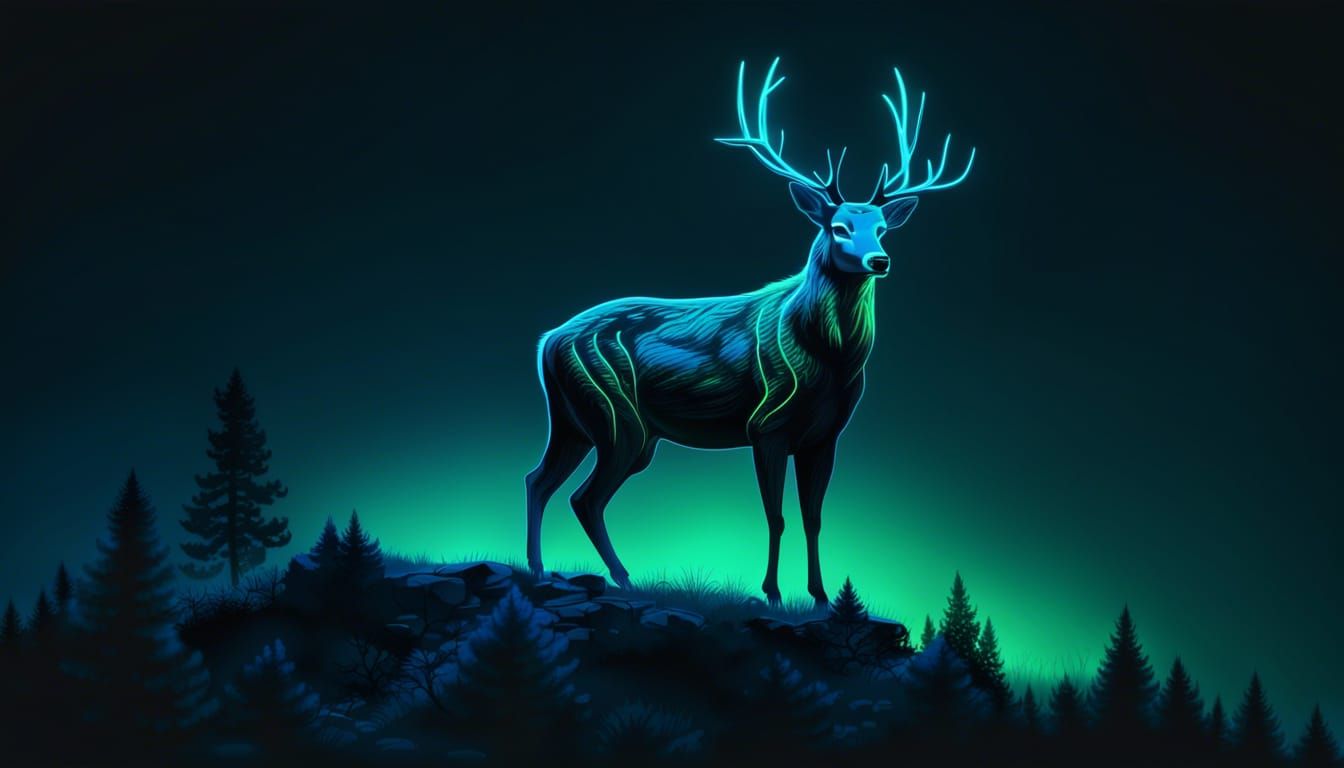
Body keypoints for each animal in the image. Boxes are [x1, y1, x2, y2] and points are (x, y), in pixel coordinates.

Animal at [525, 58, 974, 607]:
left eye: (883, 228)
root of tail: (546, 341)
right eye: (839, 227)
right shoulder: (767, 423)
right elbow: (776, 516)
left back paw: (540, 568)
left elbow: (814, 517)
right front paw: (773, 593)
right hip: (617, 419)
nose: (880, 260)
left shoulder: (826, 436)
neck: (828, 359)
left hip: (574, 420)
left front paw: (821, 597)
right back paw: (622, 577)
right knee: (584, 496)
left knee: (539, 479)